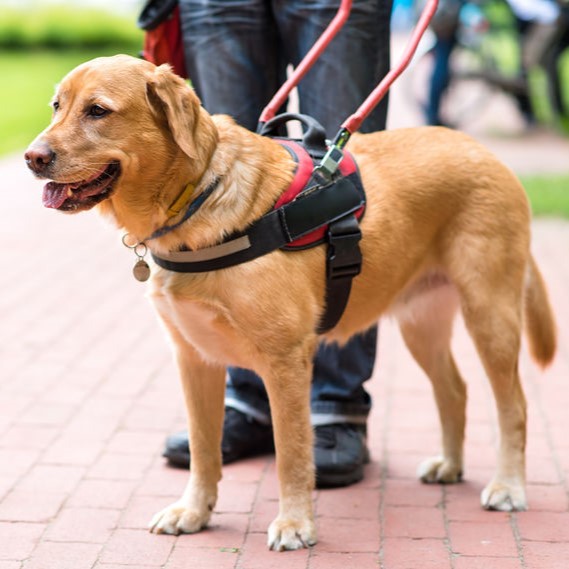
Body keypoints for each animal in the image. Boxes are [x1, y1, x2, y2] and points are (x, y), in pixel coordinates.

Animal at [25, 55, 556, 548]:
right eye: (56, 106)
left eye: (98, 110)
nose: (32, 157)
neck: (198, 199)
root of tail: (484, 151)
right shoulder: (194, 358)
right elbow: (203, 449)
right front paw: (194, 512)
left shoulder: (287, 362)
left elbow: (293, 454)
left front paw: (296, 523)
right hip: (420, 324)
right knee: (455, 390)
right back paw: (449, 464)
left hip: (490, 315)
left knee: (514, 406)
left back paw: (508, 487)